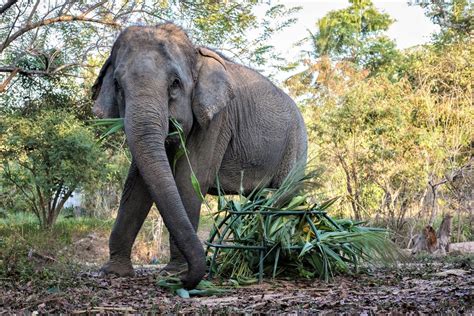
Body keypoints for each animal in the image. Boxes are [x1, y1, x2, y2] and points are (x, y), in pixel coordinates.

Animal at [91, 21, 308, 288]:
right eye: (118, 86)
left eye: (175, 84)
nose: (185, 280)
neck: (196, 54)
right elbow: (137, 185)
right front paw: (114, 272)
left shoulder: (218, 120)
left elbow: (190, 179)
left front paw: (174, 273)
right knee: (260, 198)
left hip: (296, 144)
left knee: (287, 194)